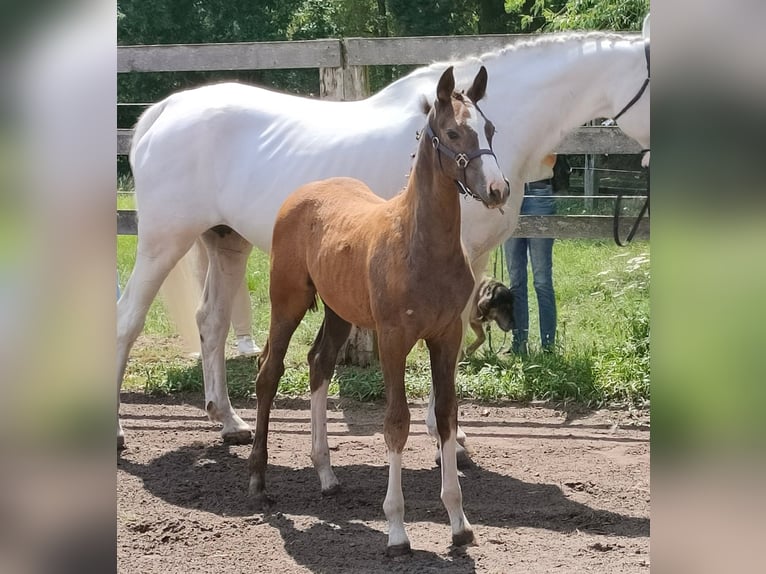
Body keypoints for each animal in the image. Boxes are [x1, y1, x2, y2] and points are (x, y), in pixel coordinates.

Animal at [117, 29, 650, 449]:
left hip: (225, 241)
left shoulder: (474, 264)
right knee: (128, 319)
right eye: (457, 132)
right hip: (163, 242)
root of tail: (165, 110)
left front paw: (452, 434)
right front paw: (447, 438)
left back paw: (229, 421)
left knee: (211, 322)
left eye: (490, 126)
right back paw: (121, 434)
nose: (494, 190)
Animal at [248, 65, 507, 555]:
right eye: (452, 132)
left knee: (319, 363)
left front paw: (459, 523)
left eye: (490, 129)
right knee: (269, 373)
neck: (421, 246)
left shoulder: (446, 336)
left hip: (338, 310)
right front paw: (397, 530)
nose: (498, 190)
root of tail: (303, 192)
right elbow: (396, 423)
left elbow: (446, 416)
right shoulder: (392, 340)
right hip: (286, 301)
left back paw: (327, 475)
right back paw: (257, 480)